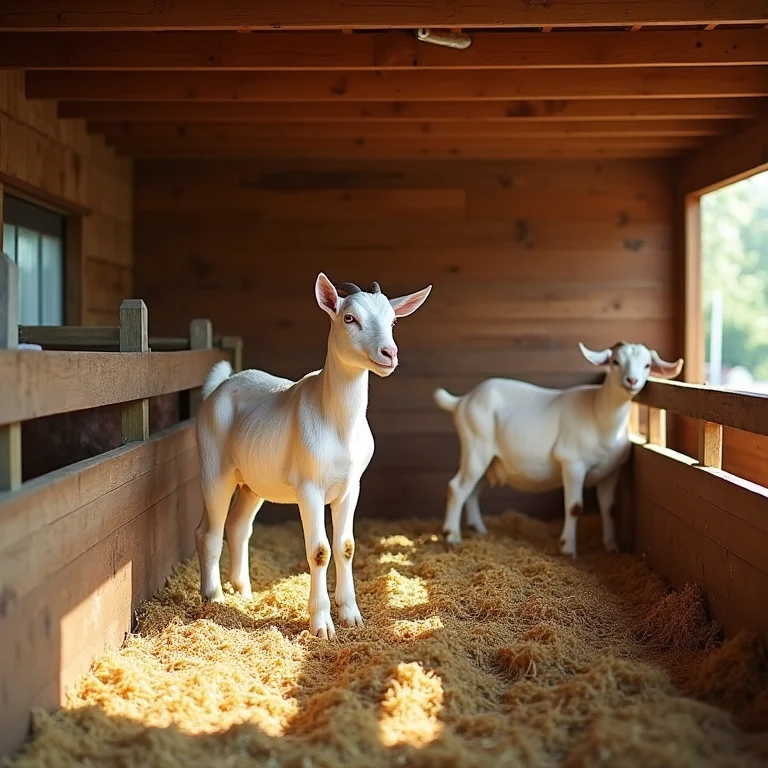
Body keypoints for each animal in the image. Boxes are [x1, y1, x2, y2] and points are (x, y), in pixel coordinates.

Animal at [196, 273, 431, 638]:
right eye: (349, 318)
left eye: (393, 320)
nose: (389, 353)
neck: (336, 421)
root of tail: (219, 387)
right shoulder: (309, 488)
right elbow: (320, 551)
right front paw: (321, 624)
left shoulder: (351, 486)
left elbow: (346, 546)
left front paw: (351, 615)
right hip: (214, 469)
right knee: (209, 531)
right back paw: (215, 597)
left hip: (253, 483)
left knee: (237, 526)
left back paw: (244, 592)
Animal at [434, 342, 683, 556]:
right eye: (615, 362)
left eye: (647, 365)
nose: (632, 380)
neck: (598, 413)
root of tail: (462, 401)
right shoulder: (572, 463)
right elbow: (574, 507)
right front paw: (568, 549)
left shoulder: (611, 471)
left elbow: (609, 508)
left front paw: (611, 547)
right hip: (476, 447)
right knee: (457, 488)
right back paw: (452, 537)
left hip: (492, 460)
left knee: (473, 491)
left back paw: (479, 529)